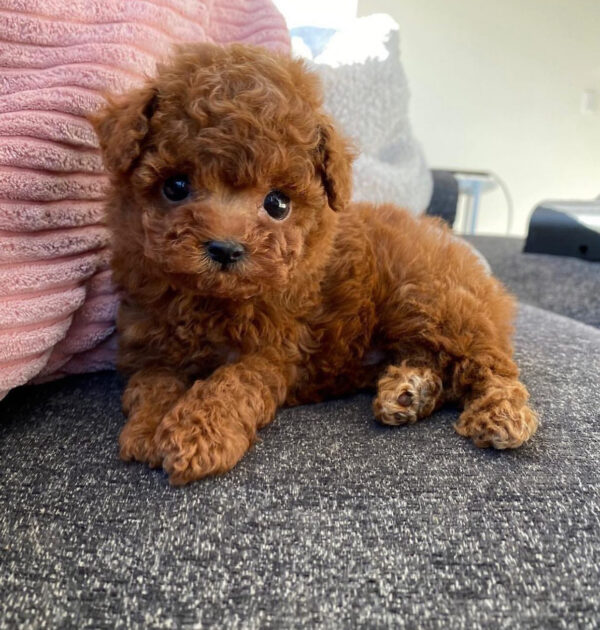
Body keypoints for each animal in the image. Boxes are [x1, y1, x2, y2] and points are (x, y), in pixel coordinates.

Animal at [91, 43, 536, 488]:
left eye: (277, 204)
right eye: (176, 186)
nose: (226, 249)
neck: (209, 301)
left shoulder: (273, 352)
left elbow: (231, 383)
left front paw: (197, 435)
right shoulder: (152, 346)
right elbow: (151, 384)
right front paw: (149, 429)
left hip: (432, 303)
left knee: (491, 366)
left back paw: (502, 415)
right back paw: (409, 392)